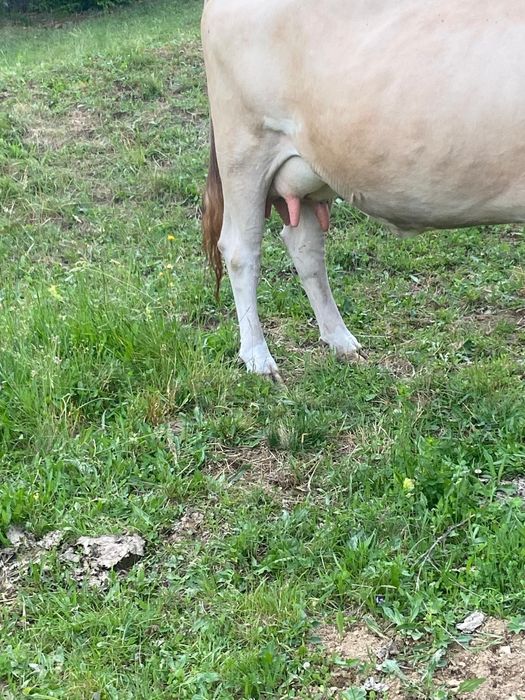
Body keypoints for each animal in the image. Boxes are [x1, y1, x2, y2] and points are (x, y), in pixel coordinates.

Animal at [201, 0, 525, 381]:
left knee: (306, 247)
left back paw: (341, 342)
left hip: (309, 169)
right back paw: (259, 359)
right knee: (241, 250)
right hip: (243, 147)